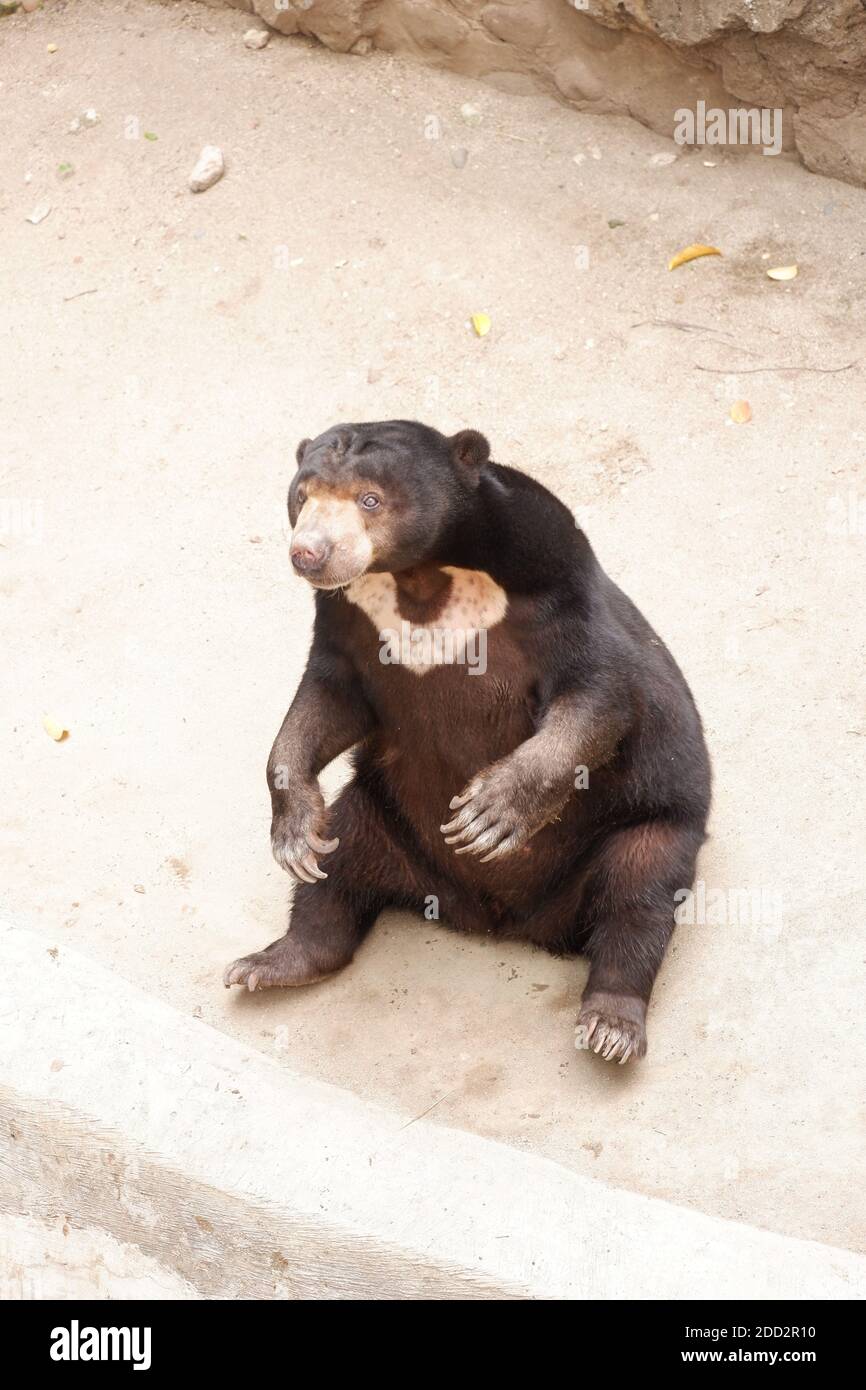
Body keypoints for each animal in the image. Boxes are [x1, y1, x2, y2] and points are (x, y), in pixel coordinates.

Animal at [223, 422, 711, 1061]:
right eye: (303, 496)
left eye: (369, 499)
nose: (310, 554)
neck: (420, 577)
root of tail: (502, 919)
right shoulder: (347, 619)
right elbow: (326, 702)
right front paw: (294, 832)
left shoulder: (554, 583)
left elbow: (599, 693)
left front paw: (490, 814)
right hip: (385, 816)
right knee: (338, 868)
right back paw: (272, 961)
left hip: (645, 822)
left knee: (637, 898)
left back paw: (611, 1025)